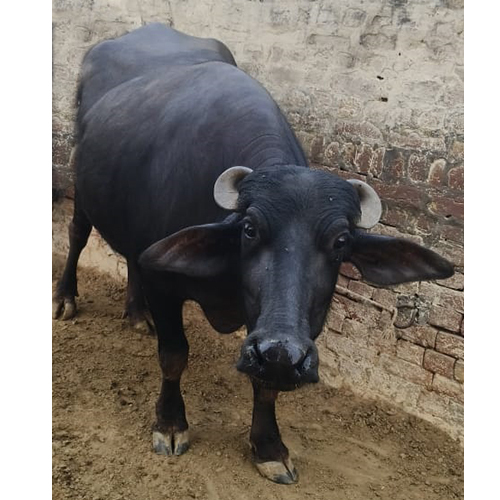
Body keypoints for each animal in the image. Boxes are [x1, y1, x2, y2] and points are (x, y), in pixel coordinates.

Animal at [52, 24, 456, 484]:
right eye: (249, 229)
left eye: (340, 243)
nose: (281, 352)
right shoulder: (164, 284)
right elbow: (174, 356)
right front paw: (171, 425)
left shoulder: (282, 323)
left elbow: (267, 384)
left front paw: (269, 447)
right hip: (82, 190)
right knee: (78, 235)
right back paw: (66, 299)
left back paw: (137, 315)